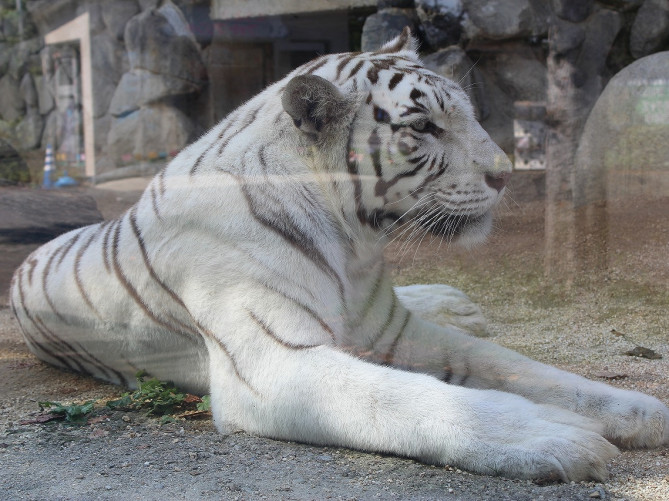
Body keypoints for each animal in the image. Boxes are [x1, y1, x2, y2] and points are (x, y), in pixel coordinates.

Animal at [7, 30, 664, 480]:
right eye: (423, 128)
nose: (505, 175)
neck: (355, 245)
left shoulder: (394, 329)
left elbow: (522, 368)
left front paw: (639, 410)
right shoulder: (269, 363)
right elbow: (409, 398)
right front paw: (557, 436)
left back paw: (454, 302)